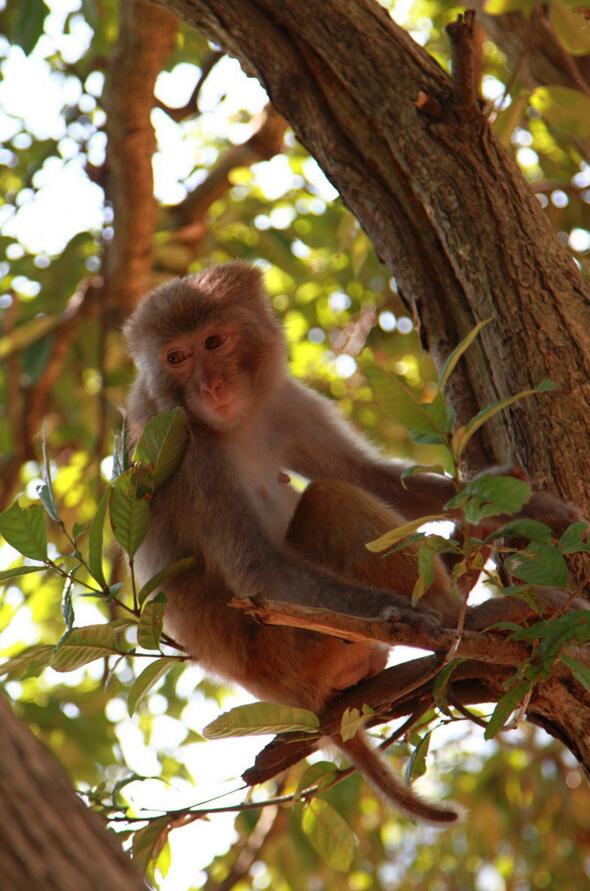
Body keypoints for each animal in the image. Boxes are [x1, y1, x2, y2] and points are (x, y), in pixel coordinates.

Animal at [123, 262, 584, 824]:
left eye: (213, 342)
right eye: (177, 358)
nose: (209, 385)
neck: (228, 424)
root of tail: (299, 703)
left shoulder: (284, 400)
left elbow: (366, 475)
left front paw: (521, 505)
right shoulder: (186, 450)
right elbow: (260, 566)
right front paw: (405, 614)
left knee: (335, 492)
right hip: (296, 652)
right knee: (328, 500)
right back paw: (474, 620)